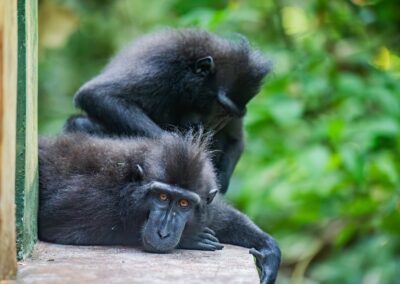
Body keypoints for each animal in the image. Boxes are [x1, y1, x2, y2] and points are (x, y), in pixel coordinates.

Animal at [39, 133, 280, 284]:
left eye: (184, 203)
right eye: (162, 196)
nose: (163, 233)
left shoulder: (205, 205)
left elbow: (221, 217)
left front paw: (269, 251)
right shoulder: (95, 197)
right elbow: (60, 225)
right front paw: (191, 239)